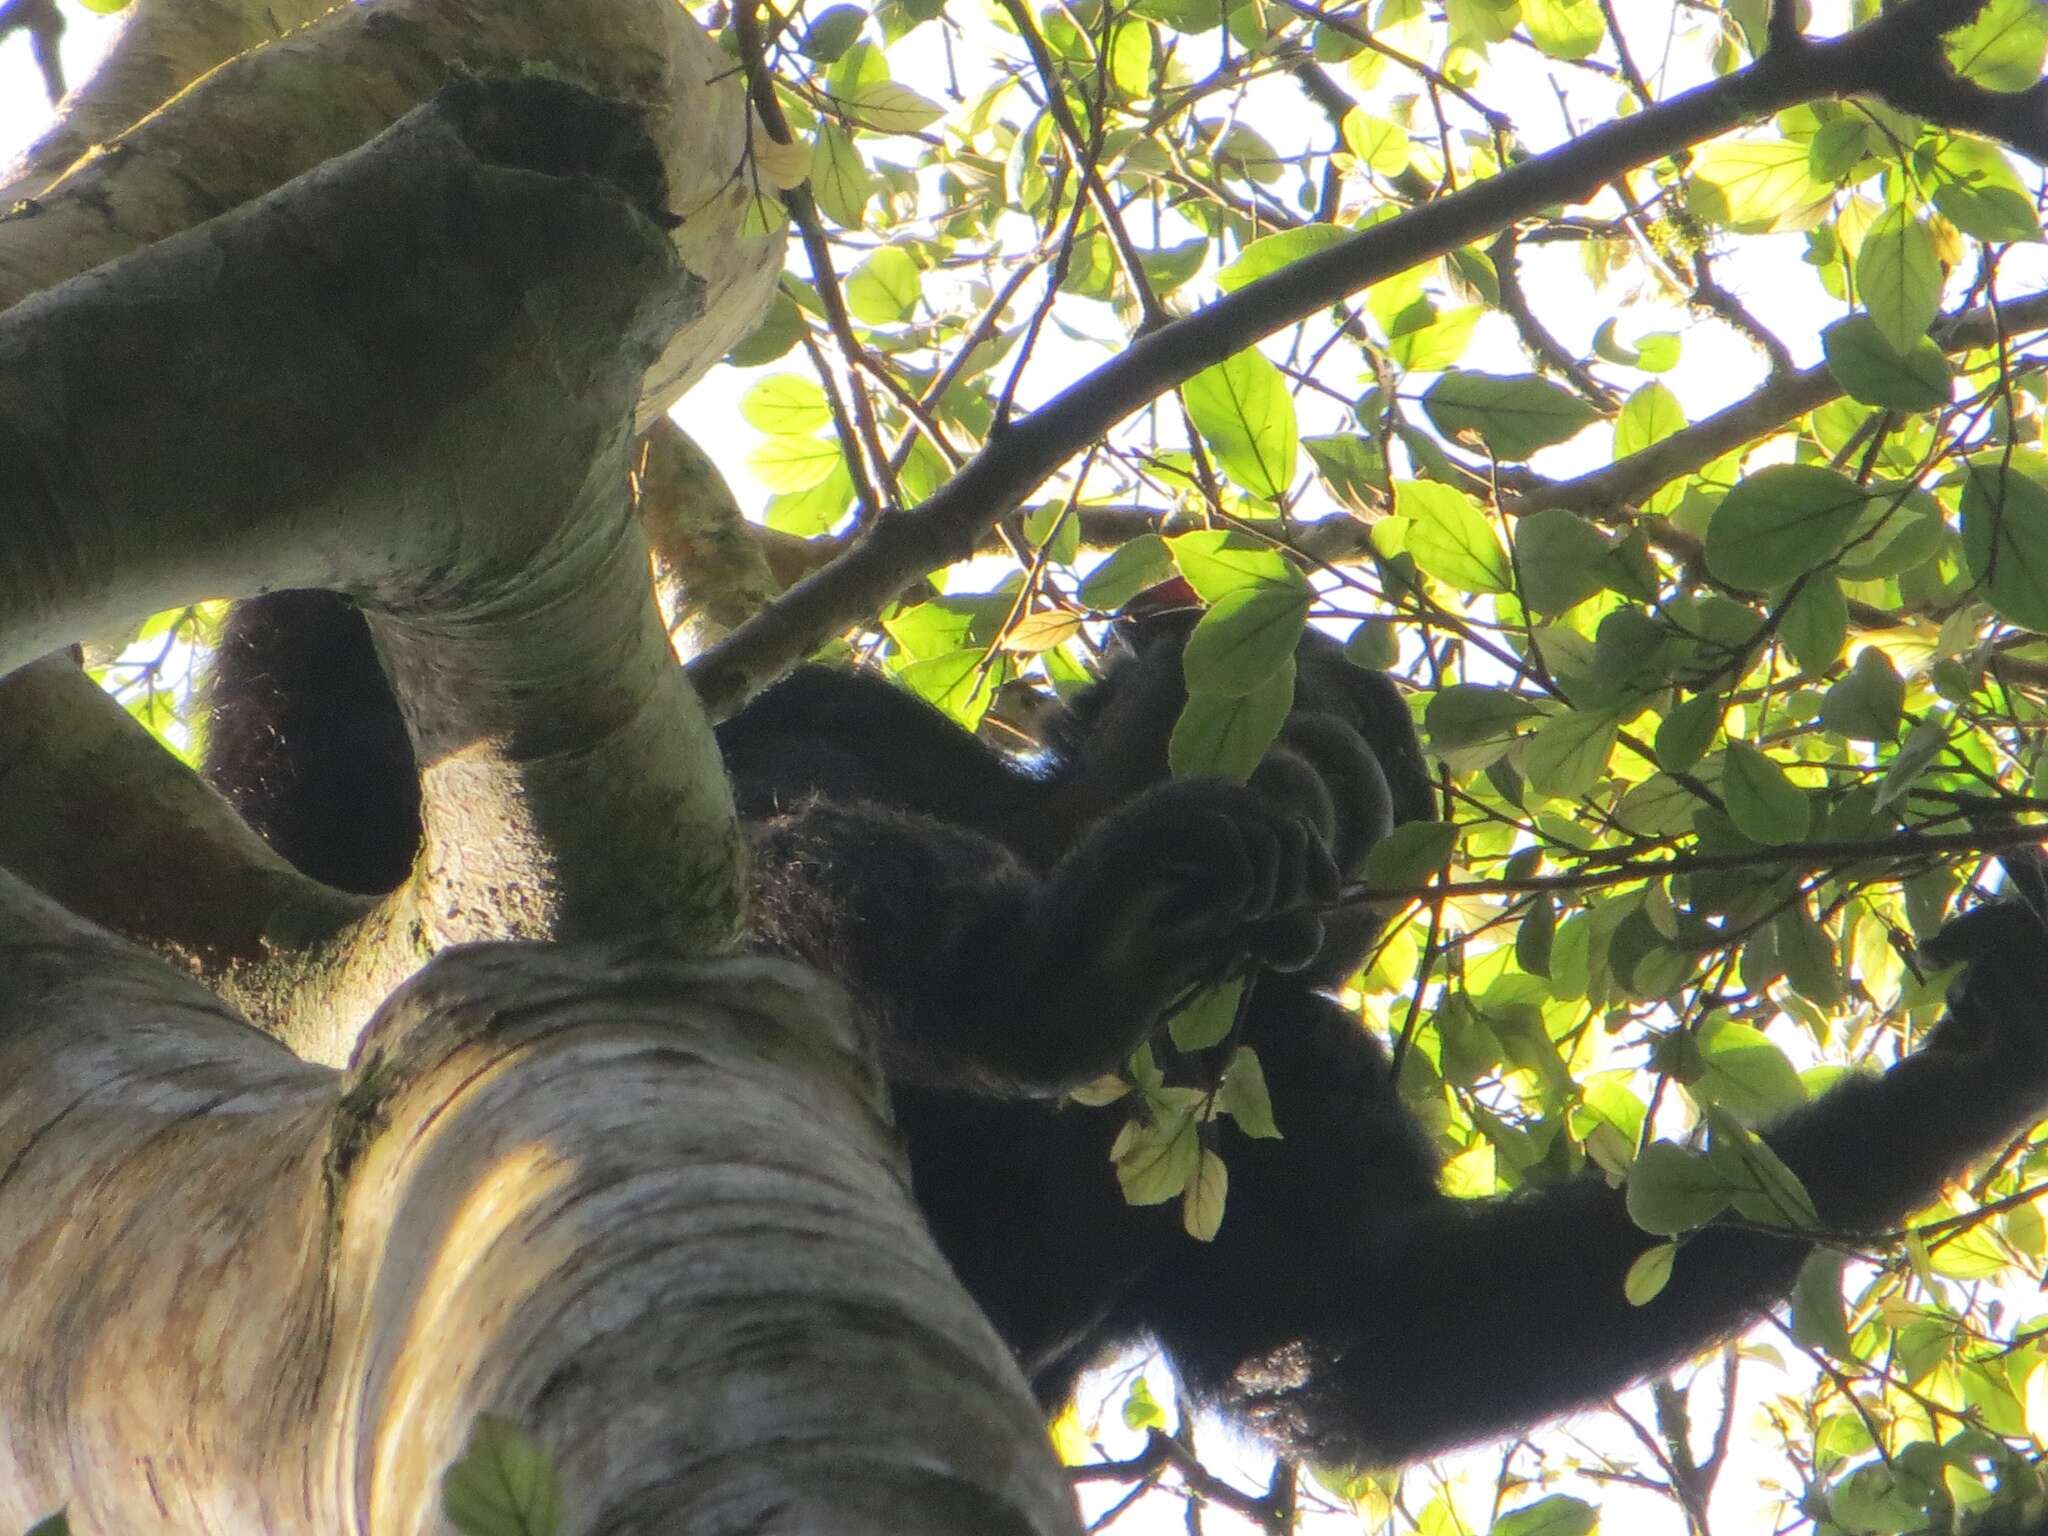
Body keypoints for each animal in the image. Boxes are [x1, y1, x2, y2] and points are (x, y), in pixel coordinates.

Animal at [199, 585, 2048, 1466]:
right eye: (1326, 714)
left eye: (1391, 816)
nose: (1336, 797)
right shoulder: (837, 701)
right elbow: (340, 813)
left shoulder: (1304, 1057)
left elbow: (1356, 1326)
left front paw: (1980, 1057)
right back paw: (1053, 965)